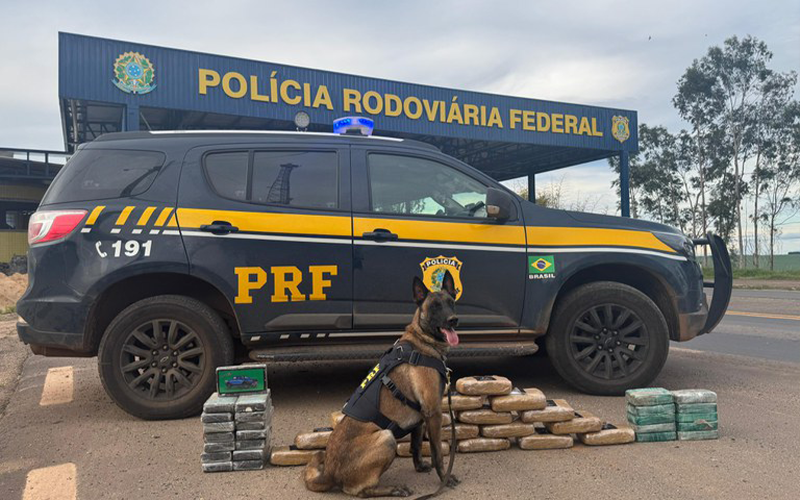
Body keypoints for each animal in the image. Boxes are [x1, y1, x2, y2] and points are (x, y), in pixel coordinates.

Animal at [304, 271, 460, 497]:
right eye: (435, 306)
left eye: (451, 303)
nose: (453, 320)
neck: (422, 342)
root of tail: (329, 472)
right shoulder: (433, 412)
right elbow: (436, 452)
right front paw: (444, 479)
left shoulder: (420, 416)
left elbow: (415, 445)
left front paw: (420, 467)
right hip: (387, 438)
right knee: (358, 490)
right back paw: (393, 489)